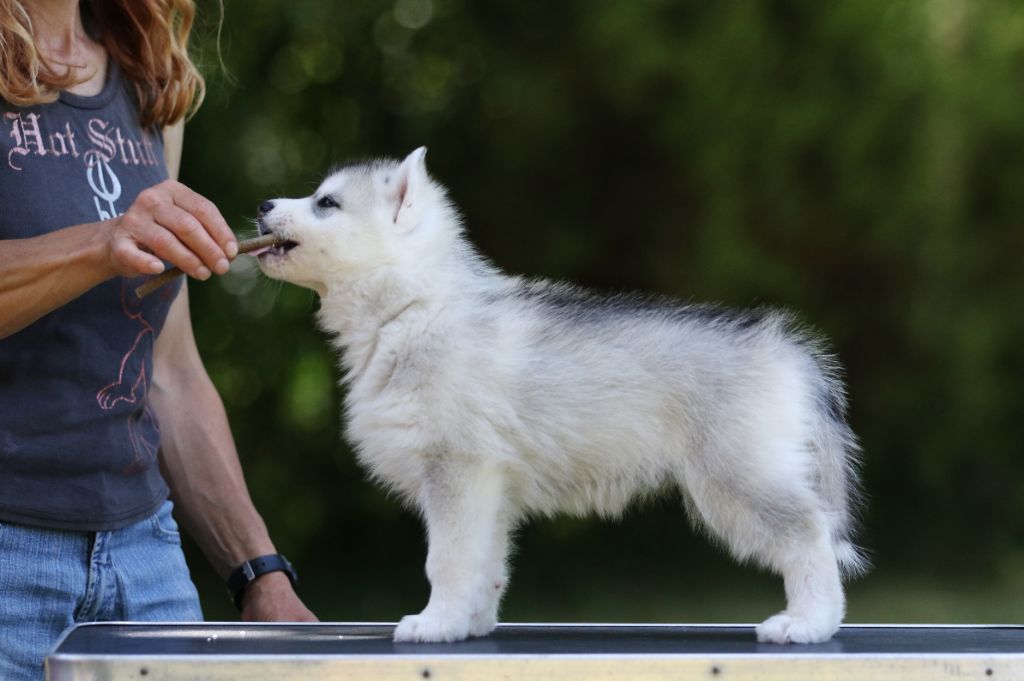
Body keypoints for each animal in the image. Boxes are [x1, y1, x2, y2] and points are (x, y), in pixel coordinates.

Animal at [254, 147, 866, 644]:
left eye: (326, 203)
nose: (261, 204)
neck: (413, 307)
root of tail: (785, 350)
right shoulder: (489, 484)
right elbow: (485, 563)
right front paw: (469, 623)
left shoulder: (456, 467)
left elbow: (447, 559)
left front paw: (435, 623)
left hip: (735, 476)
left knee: (809, 535)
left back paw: (809, 623)